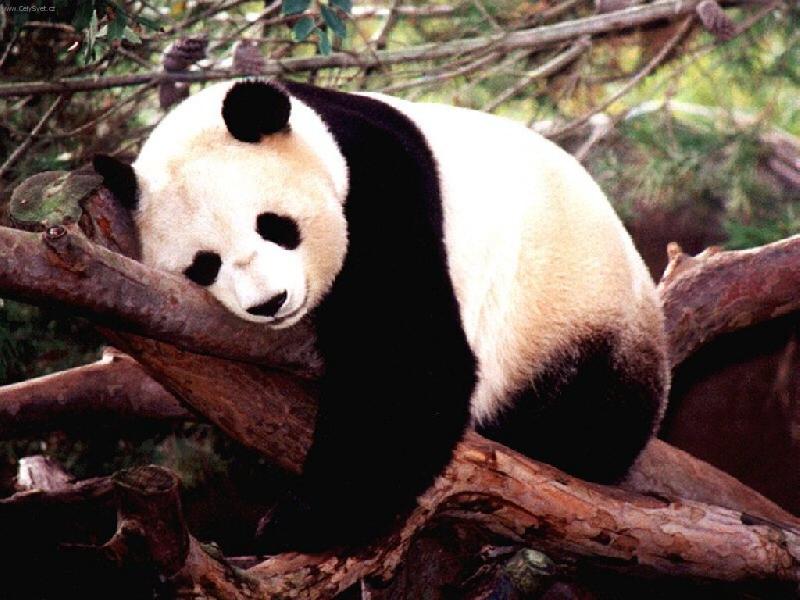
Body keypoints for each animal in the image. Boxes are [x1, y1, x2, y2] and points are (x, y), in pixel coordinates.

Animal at [93, 80, 669, 553]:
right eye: (204, 264)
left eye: (274, 225)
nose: (270, 302)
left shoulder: (383, 189)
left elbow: (408, 364)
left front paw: (299, 521)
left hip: (573, 311)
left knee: (589, 418)